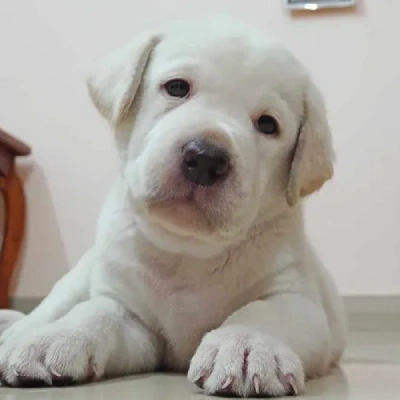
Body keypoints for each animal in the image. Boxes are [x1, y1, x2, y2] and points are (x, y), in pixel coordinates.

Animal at [0, 15, 346, 396]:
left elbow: (263, 312)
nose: (206, 157)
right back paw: (17, 332)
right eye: (177, 88)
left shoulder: (299, 300)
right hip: (77, 278)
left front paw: (246, 344)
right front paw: (58, 338)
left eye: (268, 125)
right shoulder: (134, 320)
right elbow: (97, 311)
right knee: (51, 307)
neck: (187, 252)